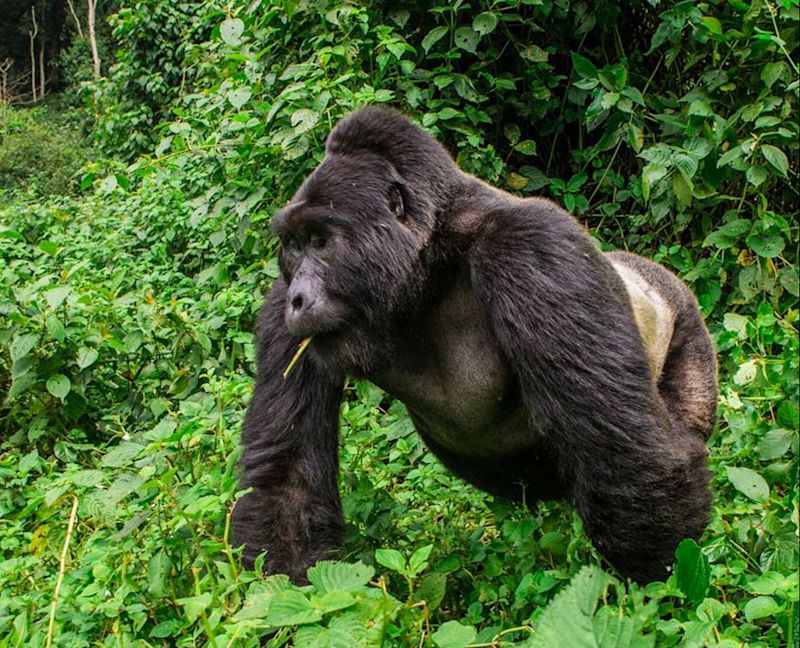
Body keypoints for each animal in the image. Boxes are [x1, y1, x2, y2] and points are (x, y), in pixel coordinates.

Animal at [233, 105, 720, 584]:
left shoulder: (534, 247)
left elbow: (627, 453)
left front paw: (659, 592)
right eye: (293, 246)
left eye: (321, 241)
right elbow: (288, 481)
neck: (427, 260)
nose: (298, 299)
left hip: (687, 324)